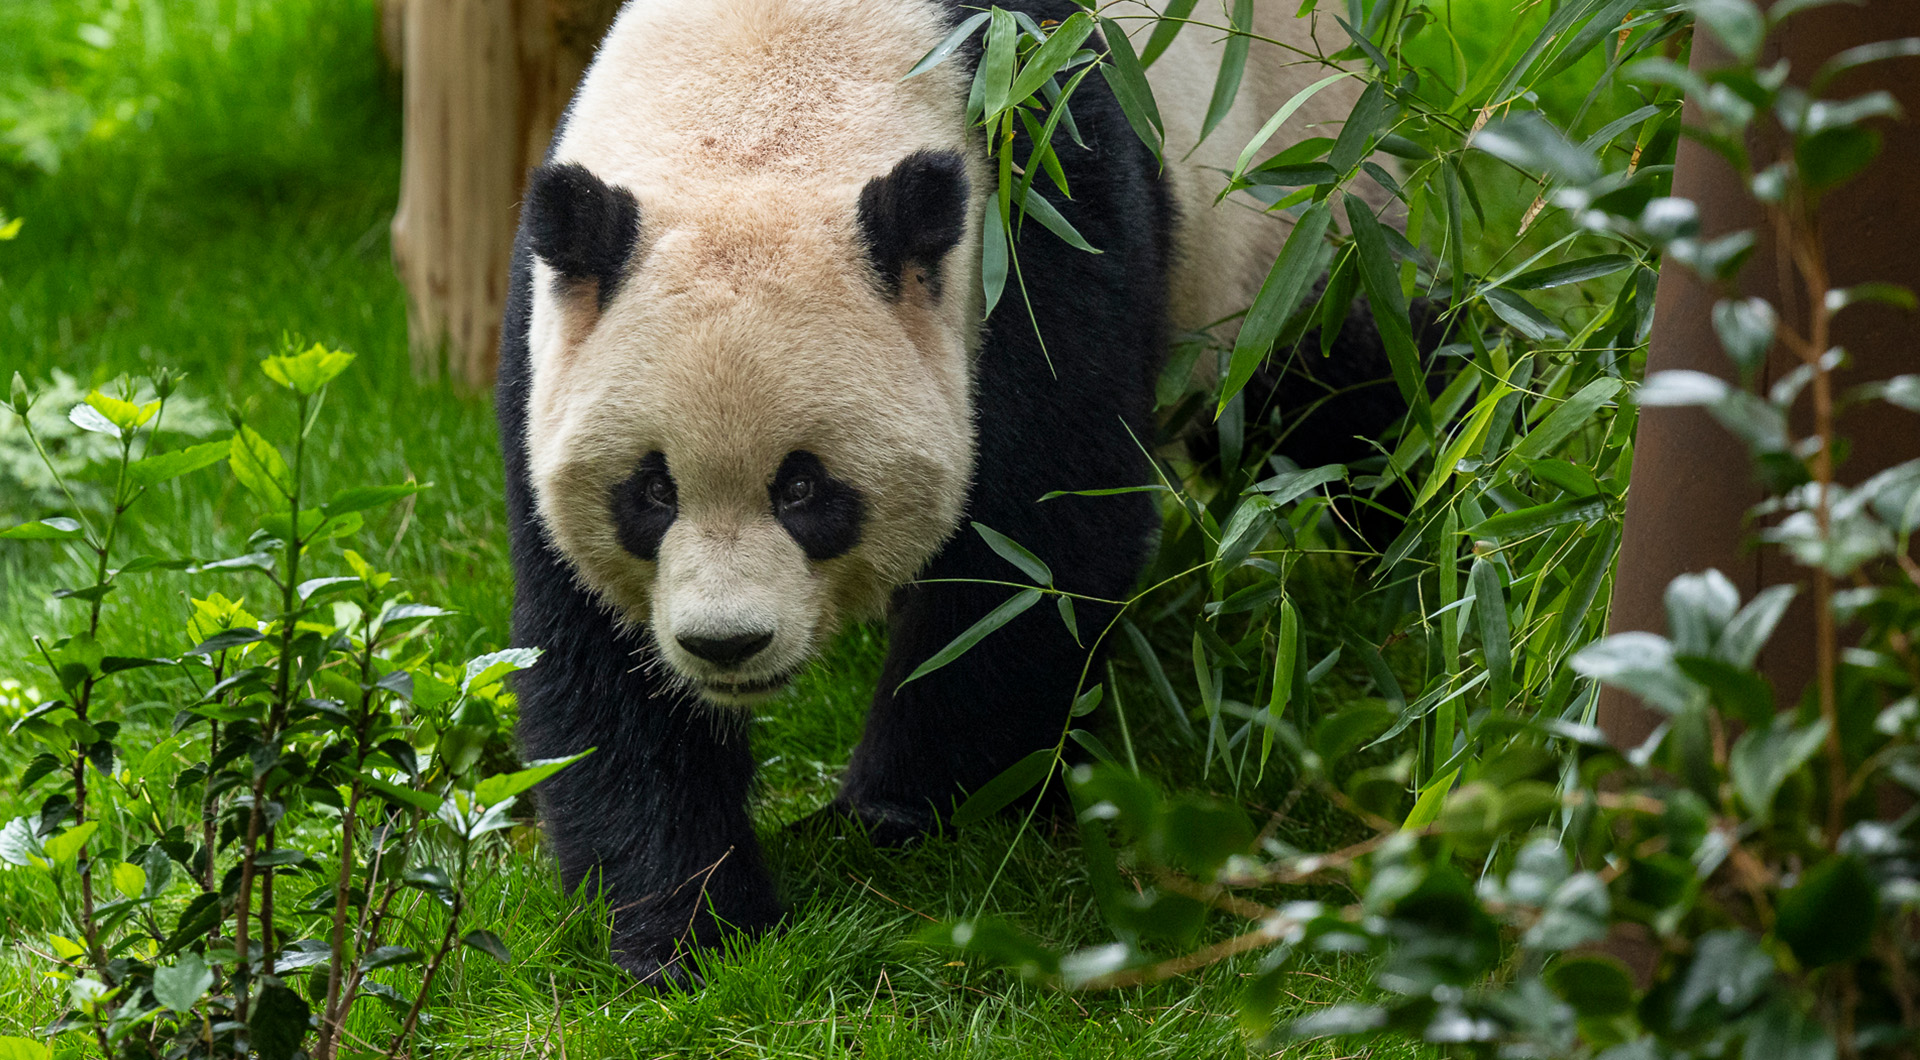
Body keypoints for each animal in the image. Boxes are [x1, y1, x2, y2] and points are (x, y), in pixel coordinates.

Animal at [495, 0, 1397, 983]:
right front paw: (688, 925)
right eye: (651, 491)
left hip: (1299, 209)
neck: (760, 96)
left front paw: (898, 820)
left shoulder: (1038, 198)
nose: (726, 644)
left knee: (1348, 386)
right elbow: (592, 645)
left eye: (804, 488)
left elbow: (1038, 544)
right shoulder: (547, 337)